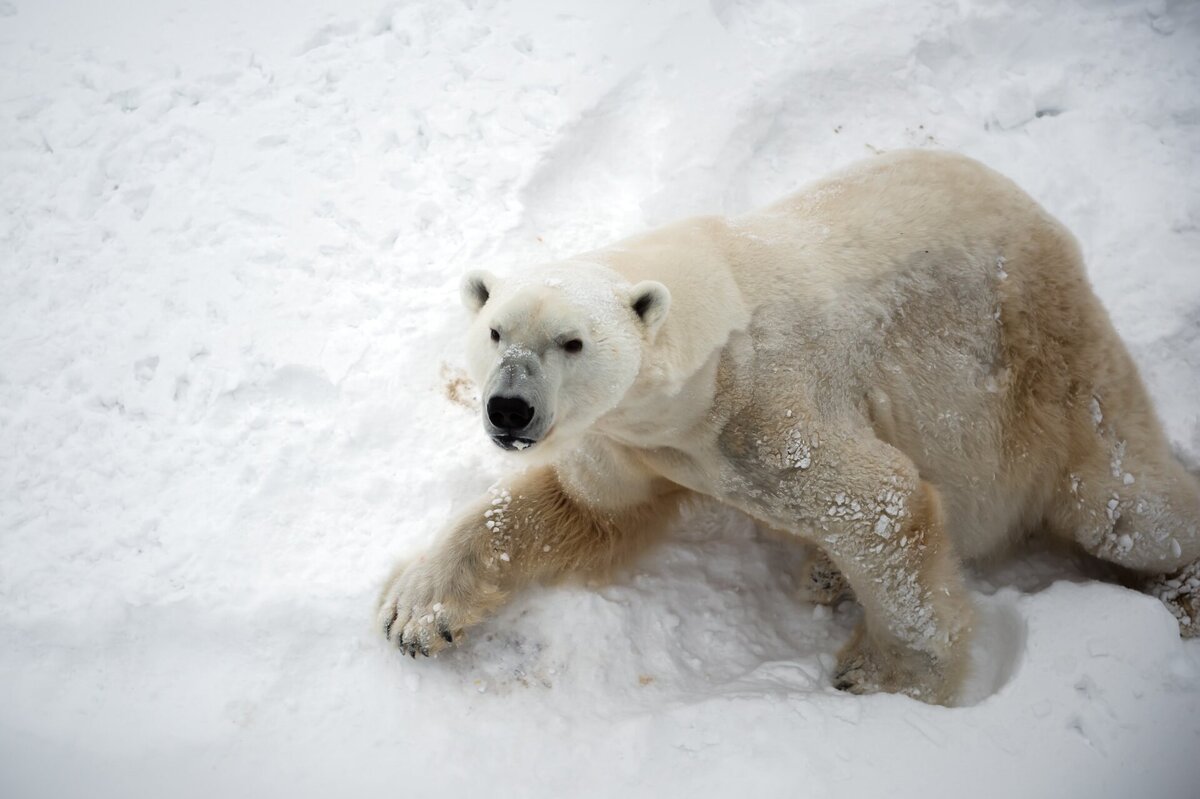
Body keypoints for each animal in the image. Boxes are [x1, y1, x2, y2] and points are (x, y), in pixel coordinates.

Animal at [379, 149, 1200, 705]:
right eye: (495, 331)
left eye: (571, 342)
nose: (508, 409)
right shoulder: (629, 442)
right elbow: (581, 508)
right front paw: (415, 612)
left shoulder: (771, 412)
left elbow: (883, 504)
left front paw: (883, 674)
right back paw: (825, 570)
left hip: (1046, 367)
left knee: (1122, 507)